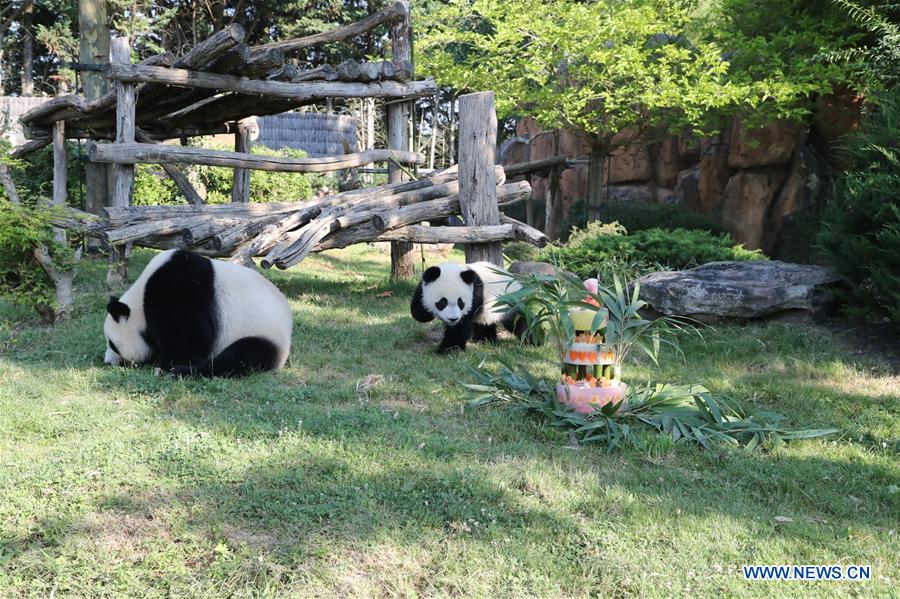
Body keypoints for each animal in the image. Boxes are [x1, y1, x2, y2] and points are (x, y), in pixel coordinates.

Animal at [104, 249, 292, 377]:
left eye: (113, 344)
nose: (107, 362)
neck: (140, 300)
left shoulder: (177, 291)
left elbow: (190, 337)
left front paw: (167, 365)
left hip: (262, 331)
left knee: (241, 357)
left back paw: (183, 371)